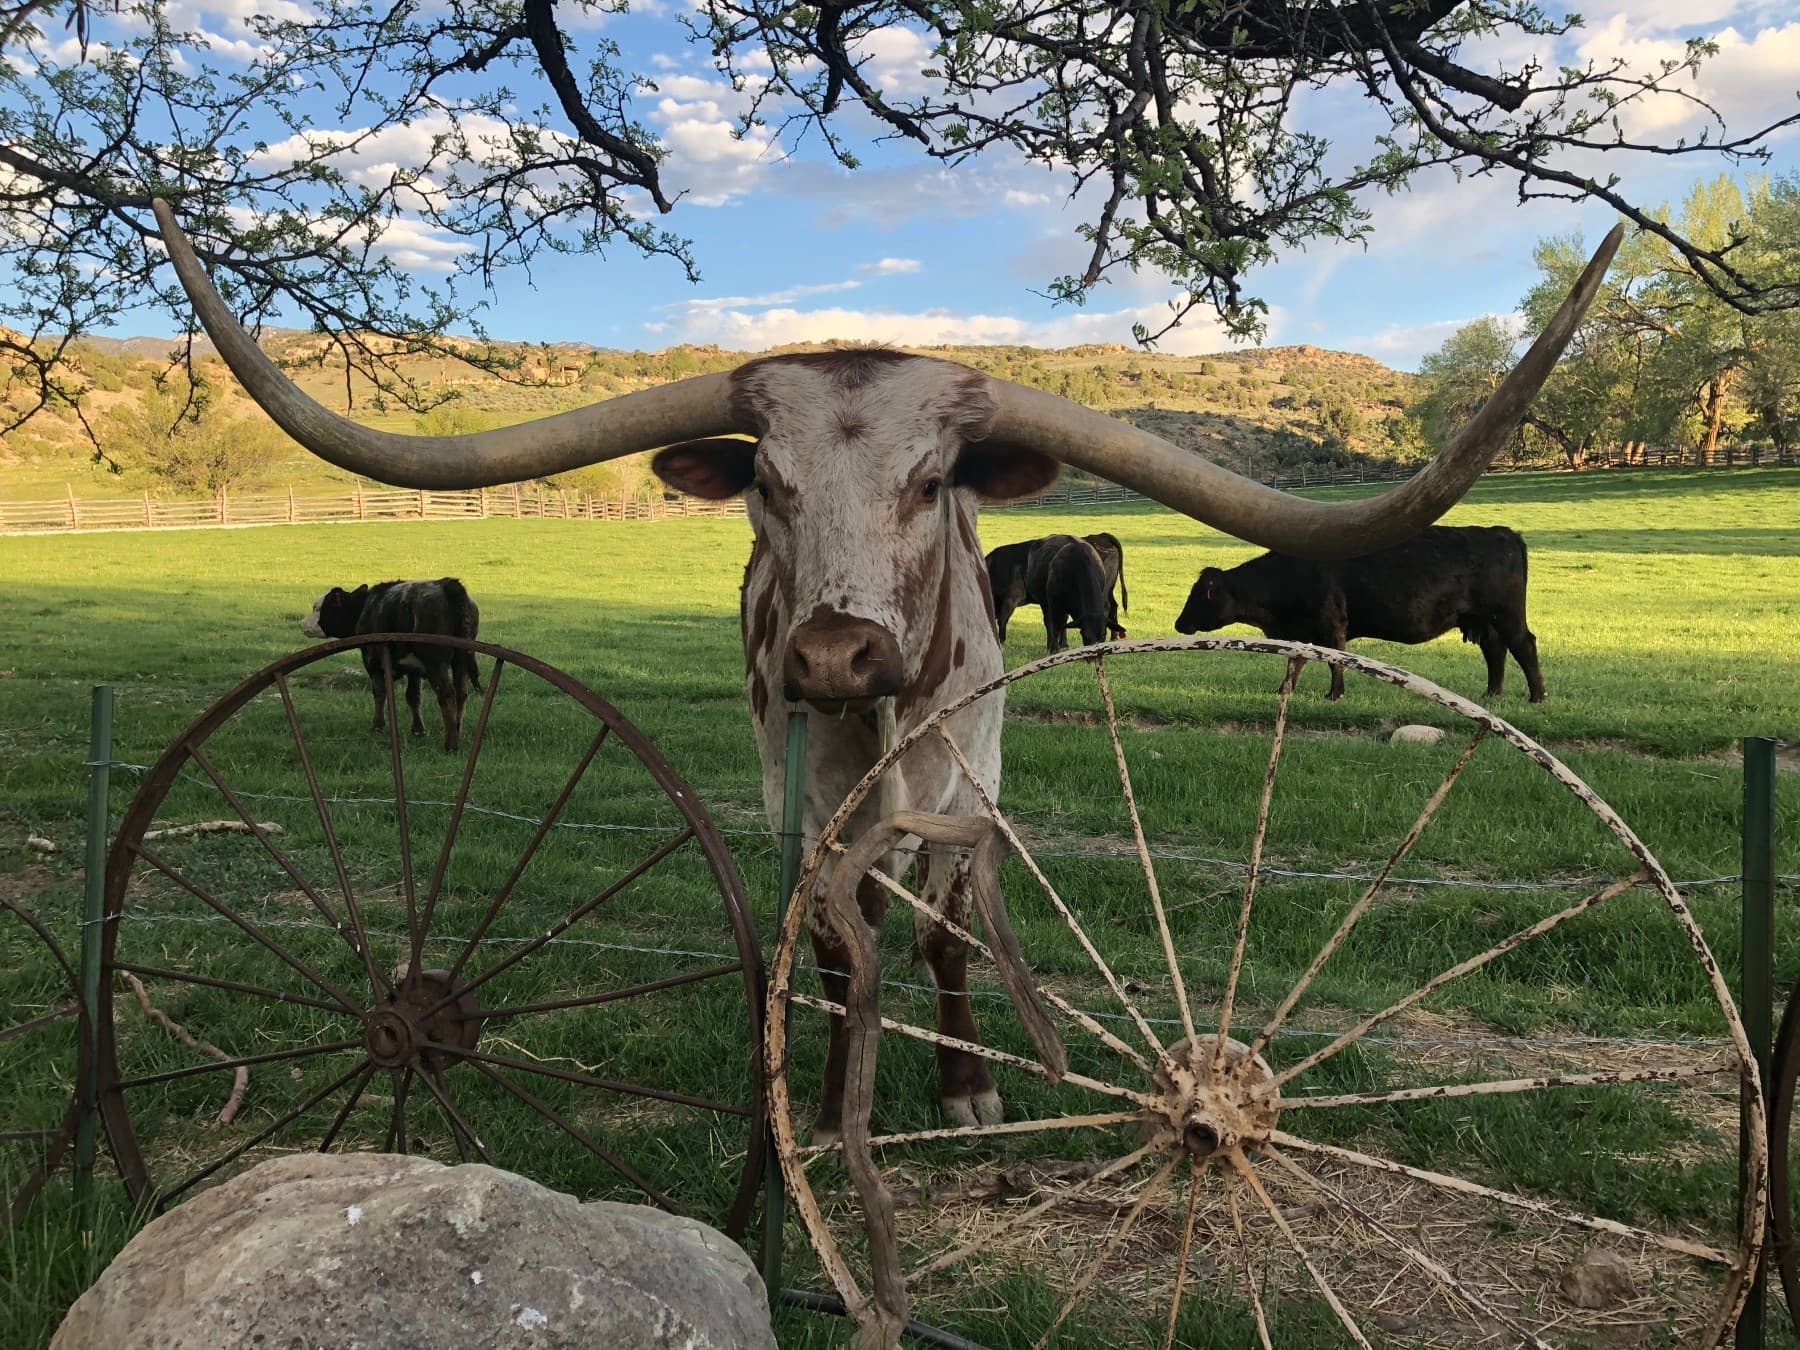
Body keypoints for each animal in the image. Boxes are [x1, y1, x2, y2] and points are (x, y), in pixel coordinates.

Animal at [300, 578, 484, 749]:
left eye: (317, 608)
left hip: (435, 662)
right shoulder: (414, 669)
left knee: (447, 695)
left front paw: (377, 726)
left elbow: (379, 692)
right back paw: (456, 731)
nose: (301, 623)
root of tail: (449, 585)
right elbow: (413, 697)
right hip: (461, 660)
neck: (365, 608)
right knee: (461, 694)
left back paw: (450, 744)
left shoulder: (371, 661)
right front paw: (418, 730)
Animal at [986, 531, 1128, 645]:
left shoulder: (1011, 598)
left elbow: (1002, 619)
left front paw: (1001, 642)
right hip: (1108, 589)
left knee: (1107, 606)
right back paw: (1114, 637)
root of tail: (1102, 535)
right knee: (1113, 605)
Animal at [1174, 526, 1544, 702]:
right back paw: (1492, 694)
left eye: (1201, 595)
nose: (1179, 623)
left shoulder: (1331, 624)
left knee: (1524, 645)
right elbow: (1296, 662)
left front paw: (1335, 694)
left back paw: (1537, 696)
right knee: (1495, 651)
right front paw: (1283, 690)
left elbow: (1335, 661)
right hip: (1484, 621)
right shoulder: (1303, 633)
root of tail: (1503, 533)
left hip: (1507, 615)